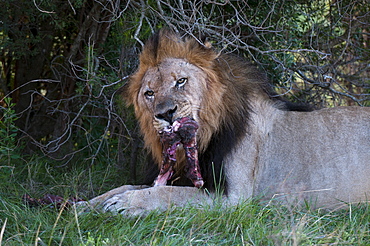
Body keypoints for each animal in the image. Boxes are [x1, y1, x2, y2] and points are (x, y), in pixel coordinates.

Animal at [82, 28, 368, 214]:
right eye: (149, 93)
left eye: (181, 81)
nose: (166, 114)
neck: (203, 138)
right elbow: (126, 185)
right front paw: (83, 205)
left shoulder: (233, 197)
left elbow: (168, 193)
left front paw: (126, 203)